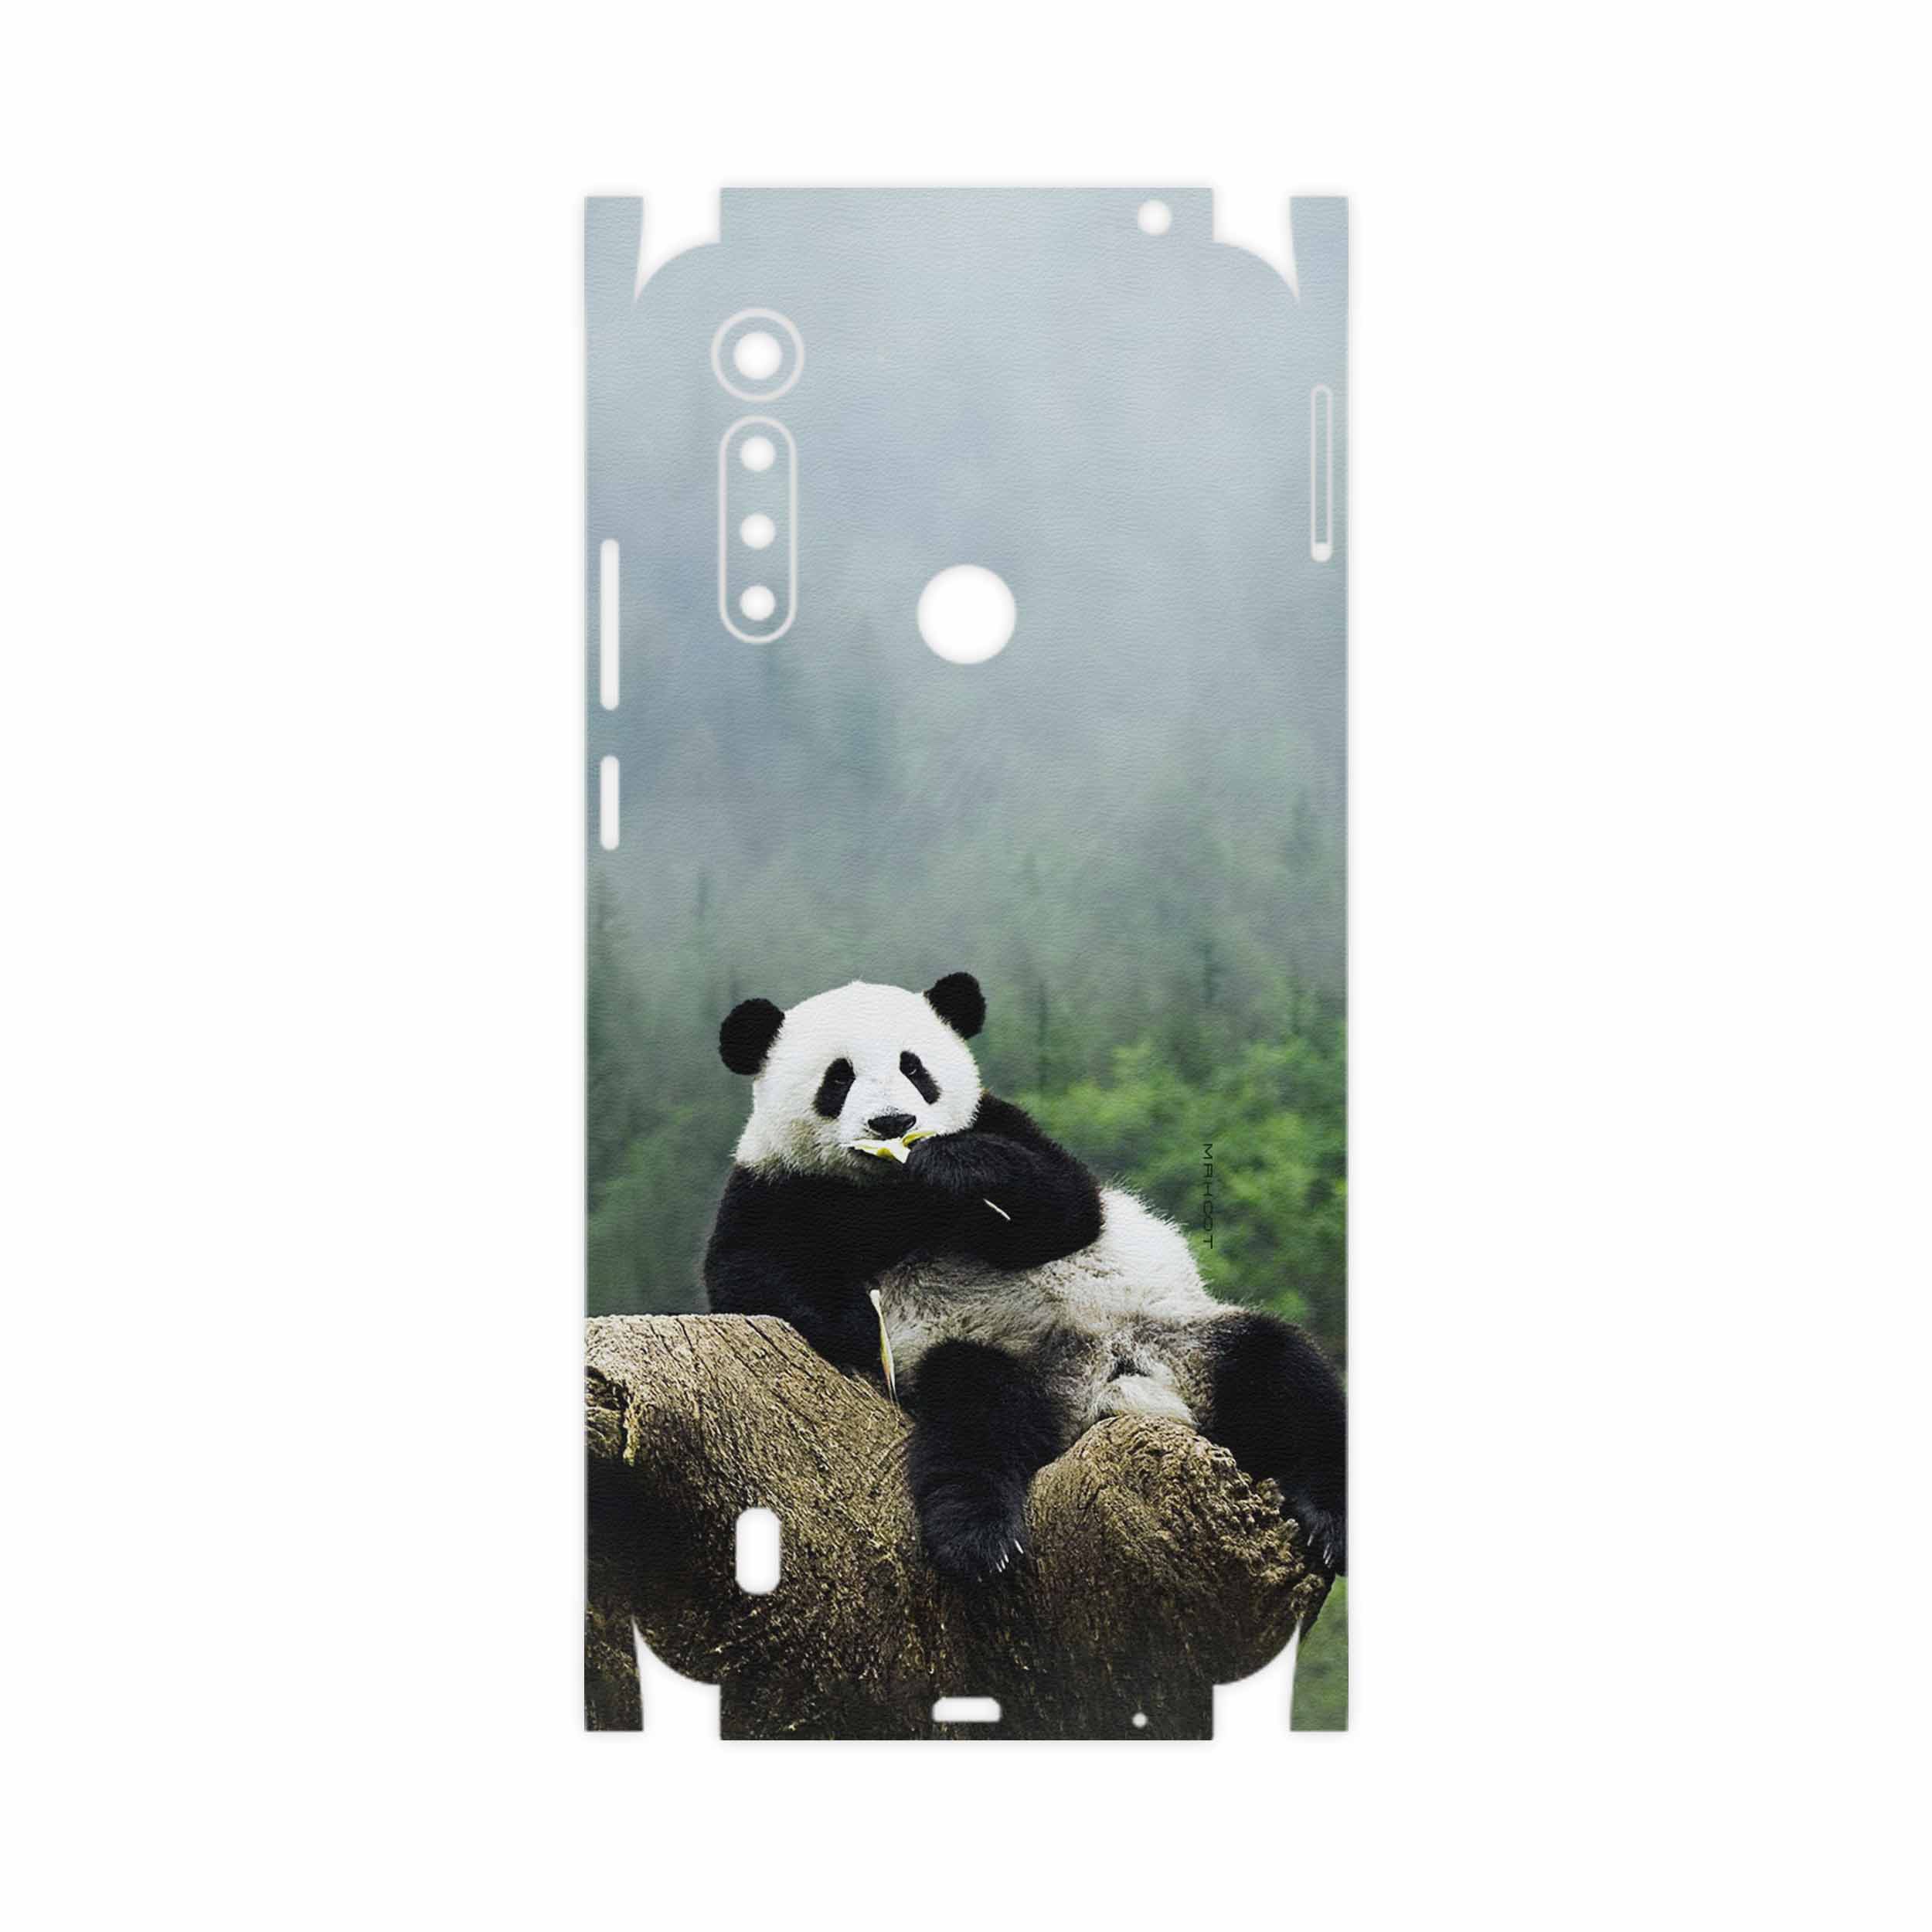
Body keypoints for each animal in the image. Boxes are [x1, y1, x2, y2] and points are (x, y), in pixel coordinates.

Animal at [704, 972, 1347, 1583]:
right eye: (838, 1079)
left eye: (915, 1068)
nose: (893, 1122)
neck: (890, 1191)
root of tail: (1107, 1386)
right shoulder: (776, 1185)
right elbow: (747, 1273)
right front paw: (862, 1324)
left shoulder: (1003, 1123)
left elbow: (1067, 1208)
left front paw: (954, 1167)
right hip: (994, 1356)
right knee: (975, 1417)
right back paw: (979, 1538)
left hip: (1183, 1336)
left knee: (1285, 1373)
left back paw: (1329, 1520)